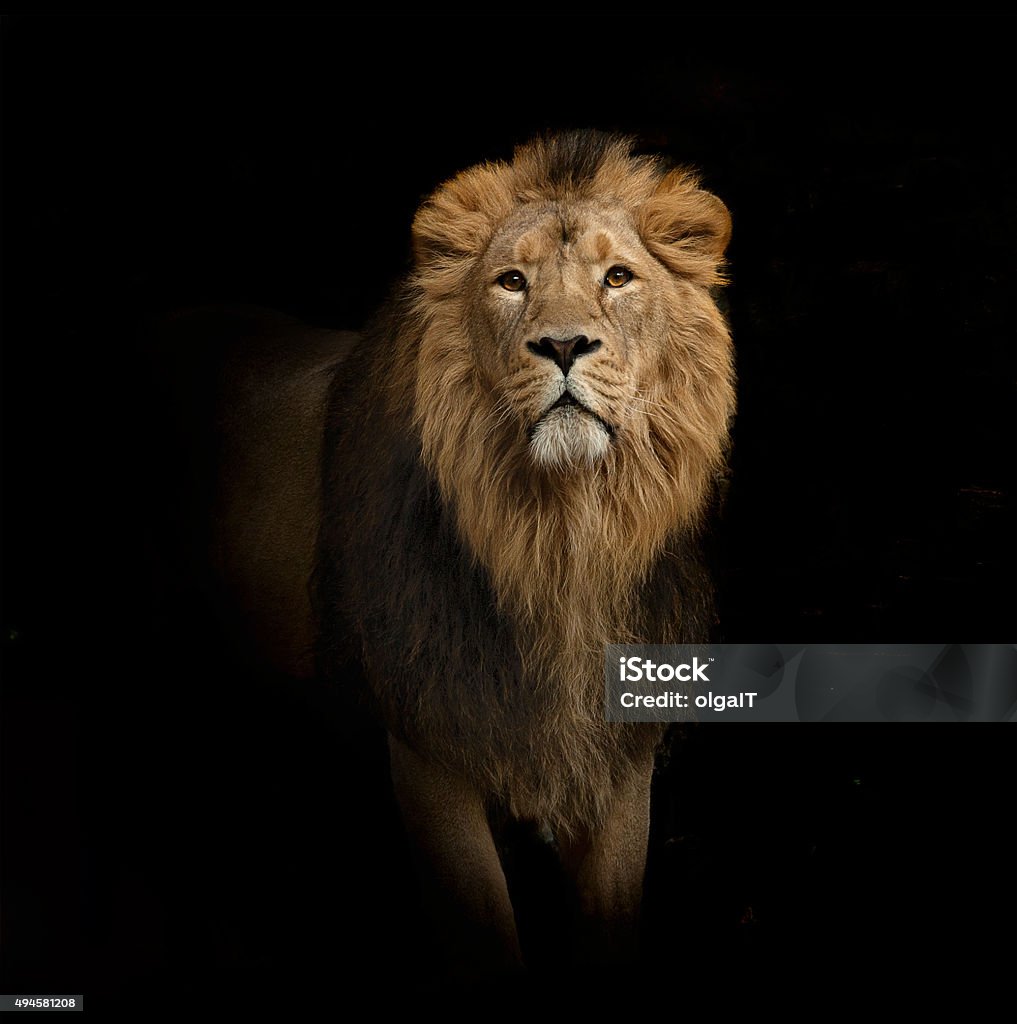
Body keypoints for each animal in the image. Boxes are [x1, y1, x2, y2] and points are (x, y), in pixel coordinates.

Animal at [162, 130, 733, 983]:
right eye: (511, 282)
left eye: (617, 277)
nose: (563, 344)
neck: (557, 541)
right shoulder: (430, 751)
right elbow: (483, 936)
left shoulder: (616, 764)